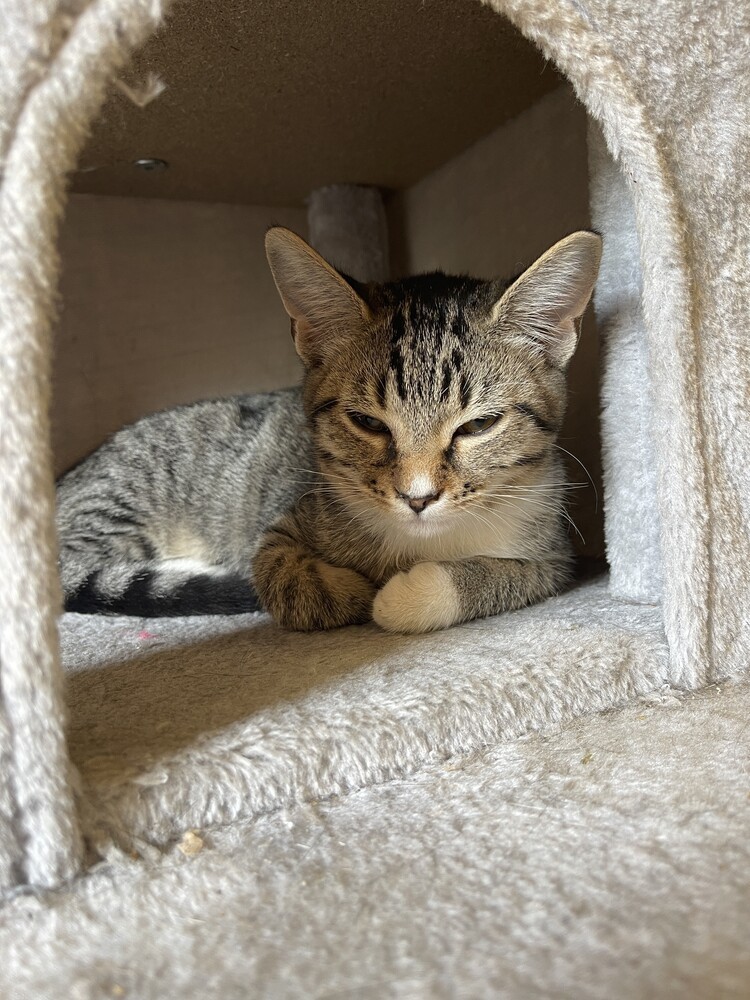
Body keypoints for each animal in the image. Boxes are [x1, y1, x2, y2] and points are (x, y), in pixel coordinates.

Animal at [55, 227, 604, 632]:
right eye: (366, 422)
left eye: (480, 425)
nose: (418, 497)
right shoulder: (288, 518)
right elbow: (272, 567)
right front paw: (351, 590)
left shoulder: (553, 556)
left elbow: (507, 576)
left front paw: (409, 596)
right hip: (117, 499)